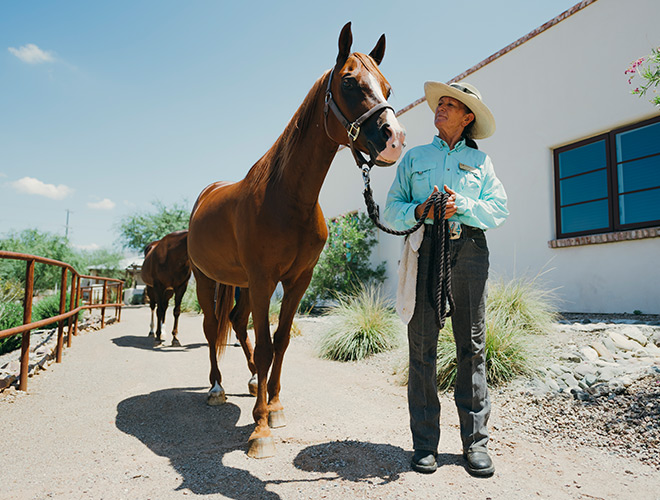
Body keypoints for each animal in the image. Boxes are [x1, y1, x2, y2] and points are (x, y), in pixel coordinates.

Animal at [187, 22, 406, 458]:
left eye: (387, 87)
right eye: (349, 82)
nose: (394, 138)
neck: (286, 195)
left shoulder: (297, 280)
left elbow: (282, 341)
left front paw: (274, 408)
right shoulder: (263, 279)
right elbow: (266, 345)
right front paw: (259, 431)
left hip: (240, 284)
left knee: (236, 323)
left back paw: (252, 380)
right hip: (208, 280)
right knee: (211, 326)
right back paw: (217, 387)